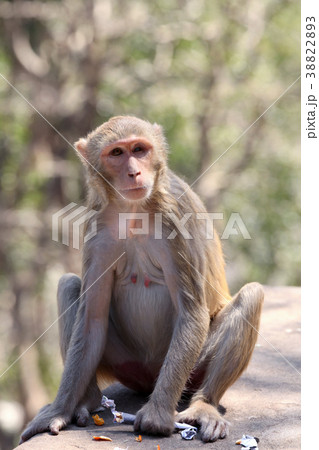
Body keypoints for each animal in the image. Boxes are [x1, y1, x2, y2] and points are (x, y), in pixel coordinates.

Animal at [20, 116, 264, 442]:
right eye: (117, 153)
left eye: (139, 149)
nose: (134, 172)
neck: (133, 211)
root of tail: (149, 377)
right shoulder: (98, 229)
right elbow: (91, 319)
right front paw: (59, 410)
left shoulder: (174, 220)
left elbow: (192, 312)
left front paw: (158, 415)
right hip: (127, 364)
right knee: (69, 285)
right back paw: (87, 400)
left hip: (191, 367)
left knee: (252, 295)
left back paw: (204, 404)